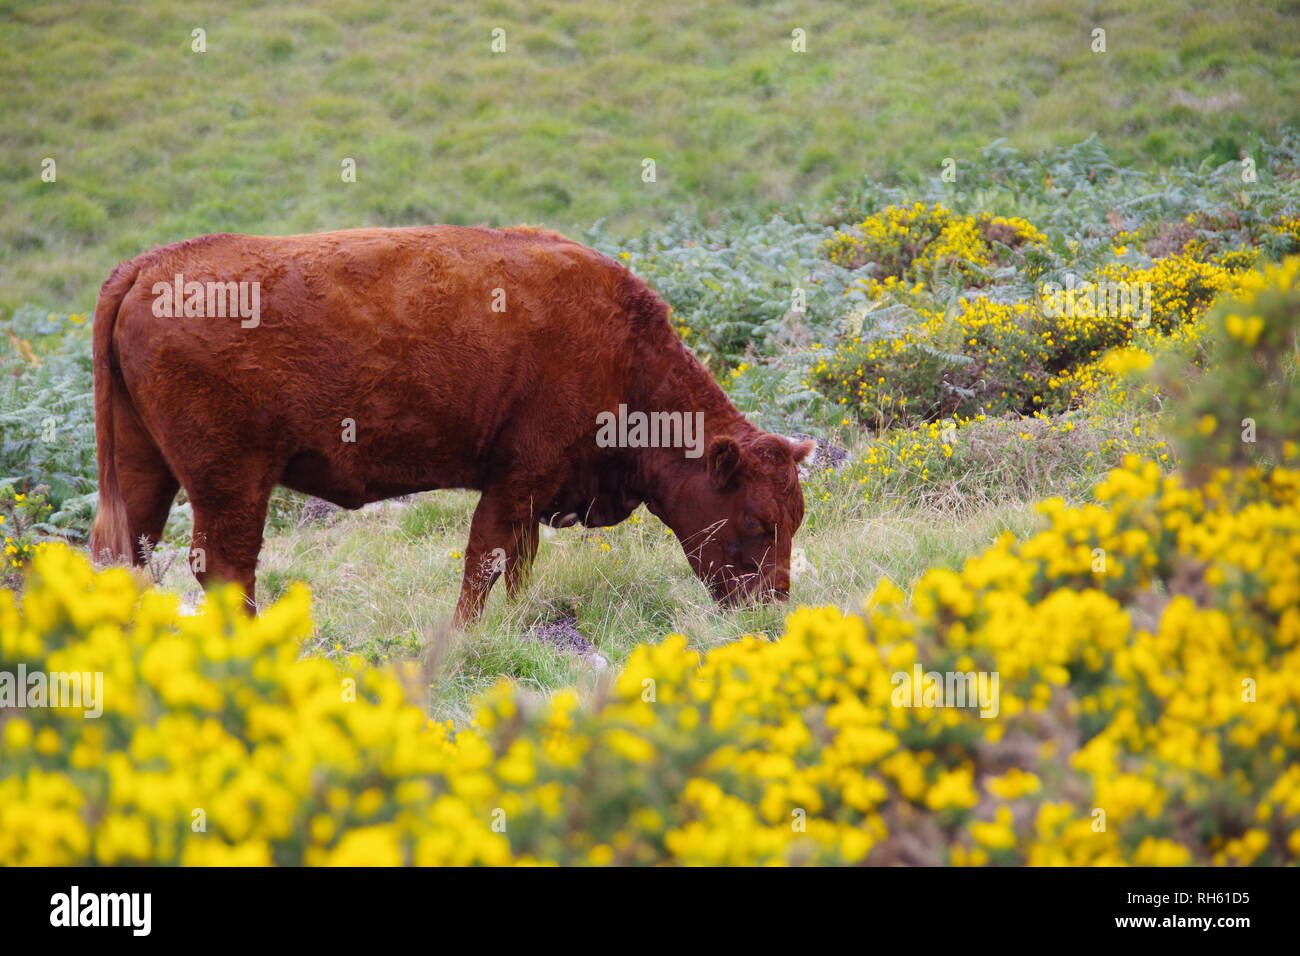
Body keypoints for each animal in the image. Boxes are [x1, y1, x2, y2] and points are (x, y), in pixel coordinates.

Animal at [89, 227, 811, 624]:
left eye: (796, 516)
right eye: (757, 520)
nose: (772, 603)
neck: (624, 353)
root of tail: (147, 267)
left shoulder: (530, 494)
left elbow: (517, 563)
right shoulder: (517, 479)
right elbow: (484, 562)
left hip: (145, 469)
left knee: (128, 556)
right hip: (232, 482)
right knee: (225, 569)